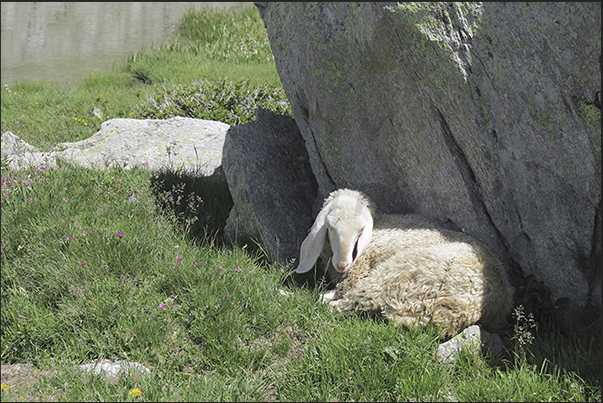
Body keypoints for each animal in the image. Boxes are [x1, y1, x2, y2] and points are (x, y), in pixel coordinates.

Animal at [298, 189, 516, 338]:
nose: (342, 264)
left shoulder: (360, 273)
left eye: (361, 230)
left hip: (396, 274)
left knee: (350, 303)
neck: (380, 226)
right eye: (330, 227)